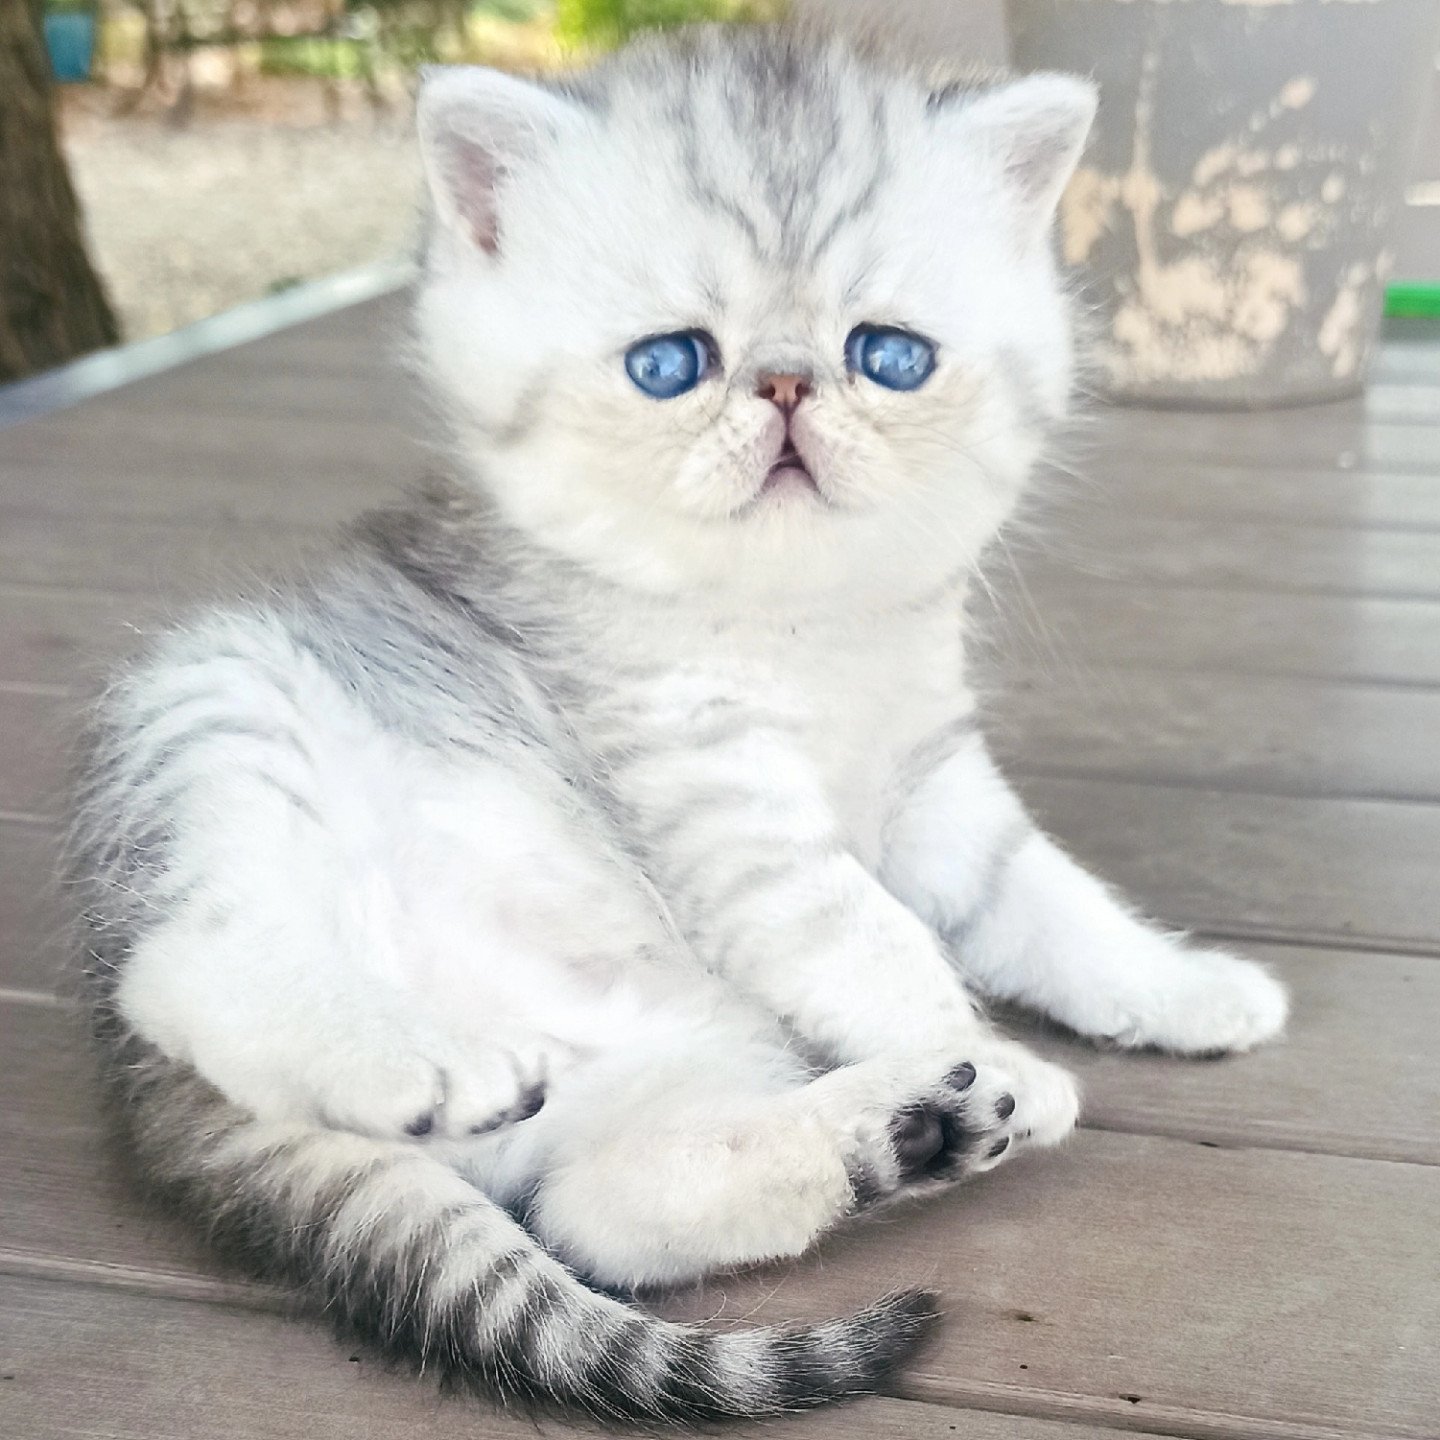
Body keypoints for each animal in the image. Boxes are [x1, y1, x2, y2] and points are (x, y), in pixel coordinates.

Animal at [67, 25, 1290, 1428]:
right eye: (670, 364)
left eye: (890, 356)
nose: (787, 385)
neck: (800, 624)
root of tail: (154, 1100)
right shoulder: (723, 808)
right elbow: (877, 942)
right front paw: (976, 1040)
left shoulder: (932, 783)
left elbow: (1046, 899)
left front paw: (1179, 987)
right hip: (216, 704)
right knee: (193, 960)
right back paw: (426, 1062)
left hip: (677, 1068)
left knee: (601, 1211)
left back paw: (903, 1132)